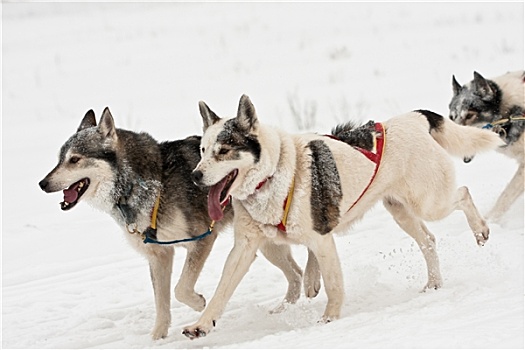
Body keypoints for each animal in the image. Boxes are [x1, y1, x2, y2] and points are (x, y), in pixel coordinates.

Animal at [40, 108, 312, 340]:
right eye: (59, 159)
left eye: (75, 159)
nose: (42, 183)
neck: (148, 182)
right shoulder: (159, 255)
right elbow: (162, 303)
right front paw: (157, 338)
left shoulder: (202, 239)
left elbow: (180, 289)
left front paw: (200, 303)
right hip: (268, 246)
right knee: (296, 274)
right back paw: (286, 305)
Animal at [181, 94, 504, 338]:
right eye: (203, 150)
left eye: (224, 150)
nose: (195, 176)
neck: (273, 176)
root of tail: (413, 118)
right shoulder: (246, 247)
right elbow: (222, 290)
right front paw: (201, 324)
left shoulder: (322, 240)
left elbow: (334, 285)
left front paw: (329, 319)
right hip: (400, 212)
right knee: (428, 239)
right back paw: (433, 283)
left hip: (429, 203)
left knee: (463, 194)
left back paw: (480, 229)